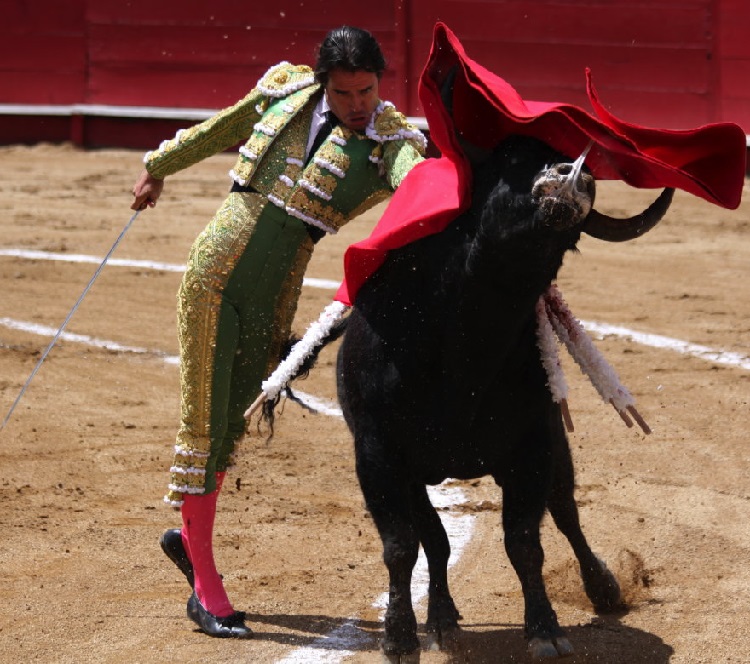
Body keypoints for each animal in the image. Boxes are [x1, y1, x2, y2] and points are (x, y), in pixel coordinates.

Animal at [332, 133, 673, 661]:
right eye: (511, 159)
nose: (575, 173)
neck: (469, 339)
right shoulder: (378, 454)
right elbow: (402, 544)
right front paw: (400, 635)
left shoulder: (532, 448)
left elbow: (525, 541)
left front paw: (545, 629)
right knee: (434, 540)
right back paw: (442, 618)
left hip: (556, 449)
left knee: (567, 515)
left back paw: (603, 588)